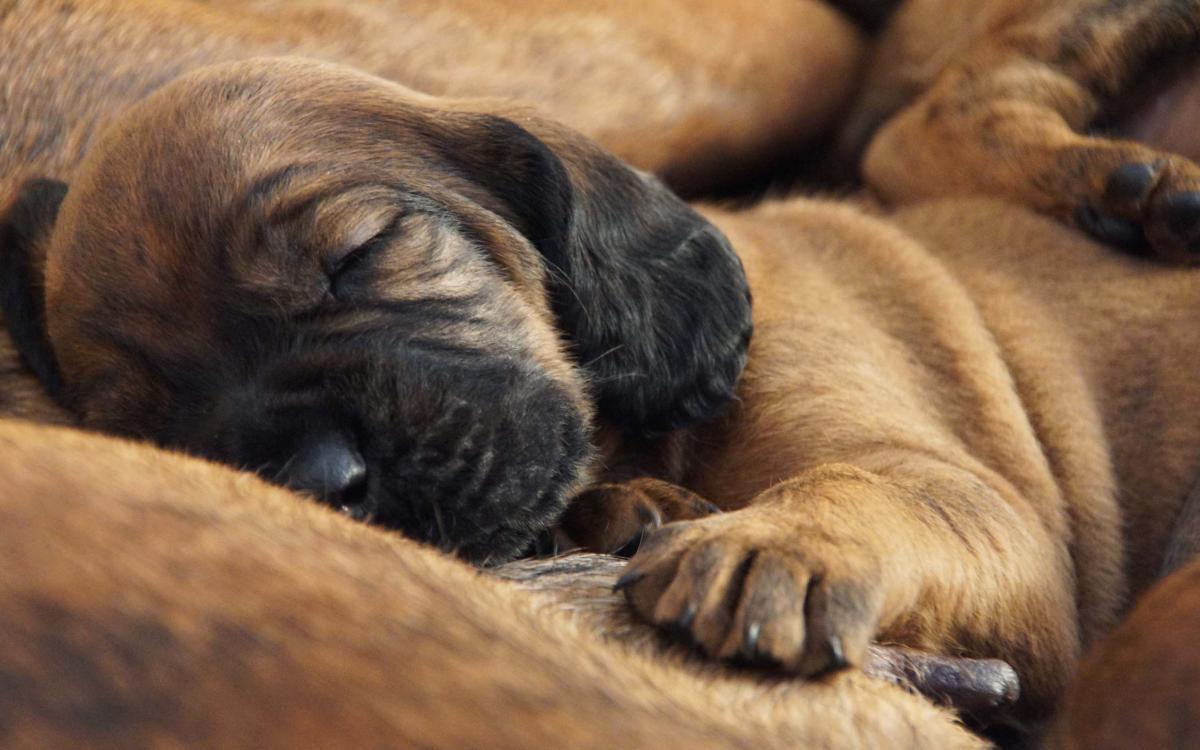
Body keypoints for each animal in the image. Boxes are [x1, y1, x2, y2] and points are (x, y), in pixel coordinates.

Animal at [4, 55, 1195, 724]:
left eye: (359, 255)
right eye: (146, 421)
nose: (318, 479)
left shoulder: (966, 498)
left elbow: (868, 487)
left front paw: (774, 545)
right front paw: (635, 515)